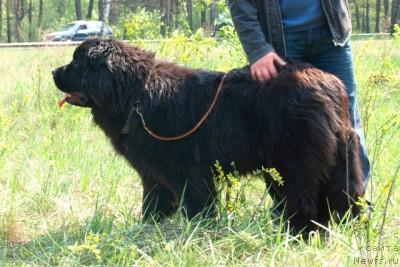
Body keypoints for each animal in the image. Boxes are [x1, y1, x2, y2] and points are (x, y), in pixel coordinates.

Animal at [53, 38, 366, 232]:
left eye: (76, 62)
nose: (54, 71)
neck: (135, 95)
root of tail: (330, 85)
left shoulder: (189, 171)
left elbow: (197, 204)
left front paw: (198, 229)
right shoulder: (153, 173)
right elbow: (153, 202)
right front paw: (148, 227)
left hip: (293, 164)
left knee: (303, 202)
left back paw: (298, 235)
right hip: (339, 161)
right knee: (347, 197)